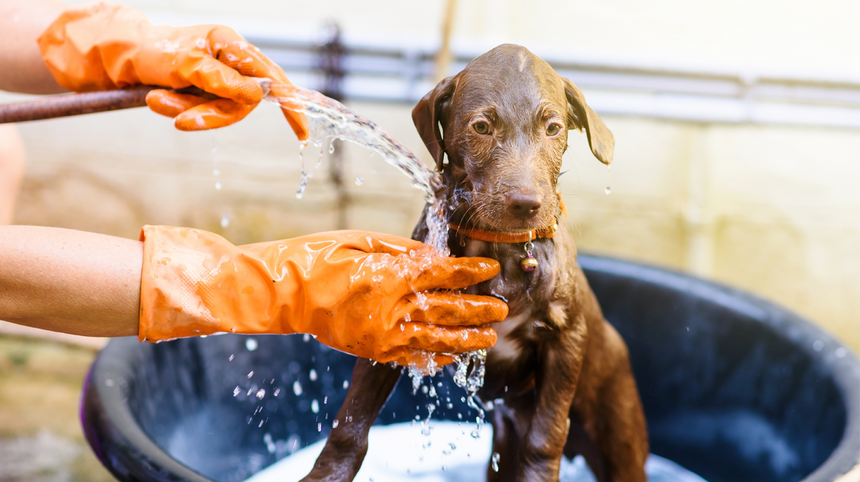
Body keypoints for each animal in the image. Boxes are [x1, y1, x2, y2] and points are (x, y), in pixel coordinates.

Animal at [302, 44, 644, 482]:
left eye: (553, 128)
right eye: (482, 127)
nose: (526, 204)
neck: (500, 249)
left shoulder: (566, 340)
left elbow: (546, 436)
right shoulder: (398, 321)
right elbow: (351, 423)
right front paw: (326, 474)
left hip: (619, 432)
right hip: (505, 437)